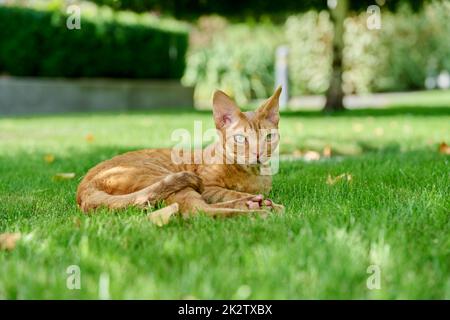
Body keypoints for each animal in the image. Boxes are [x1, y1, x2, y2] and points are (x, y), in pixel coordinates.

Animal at [75, 87, 284, 218]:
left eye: (268, 137)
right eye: (240, 139)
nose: (258, 154)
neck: (252, 175)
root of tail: (82, 188)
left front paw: (258, 198)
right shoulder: (207, 186)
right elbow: (229, 193)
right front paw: (249, 198)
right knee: (196, 211)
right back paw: (258, 211)